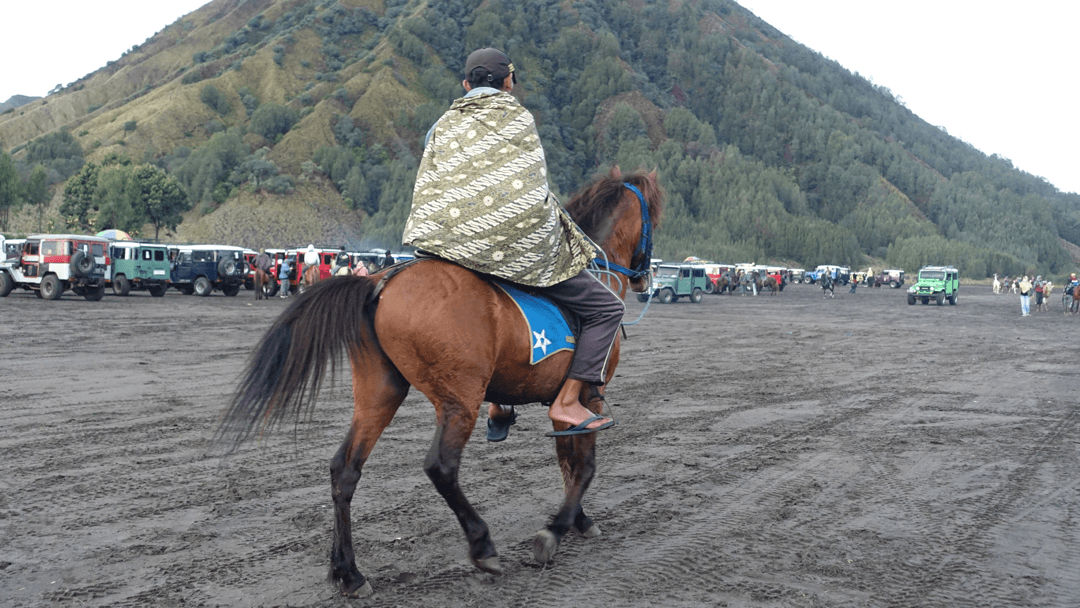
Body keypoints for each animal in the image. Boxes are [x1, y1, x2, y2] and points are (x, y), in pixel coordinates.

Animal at [216, 168, 660, 596]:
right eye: (654, 212)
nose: (645, 277)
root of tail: (379, 283)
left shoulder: (565, 407)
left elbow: (567, 463)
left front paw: (576, 520)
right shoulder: (587, 398)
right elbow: (583, 466)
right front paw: (557, 529)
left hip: (379, 394)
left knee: (345, 469)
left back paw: (349, 573)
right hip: (458, 400)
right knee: (441, 467)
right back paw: (482, 546)